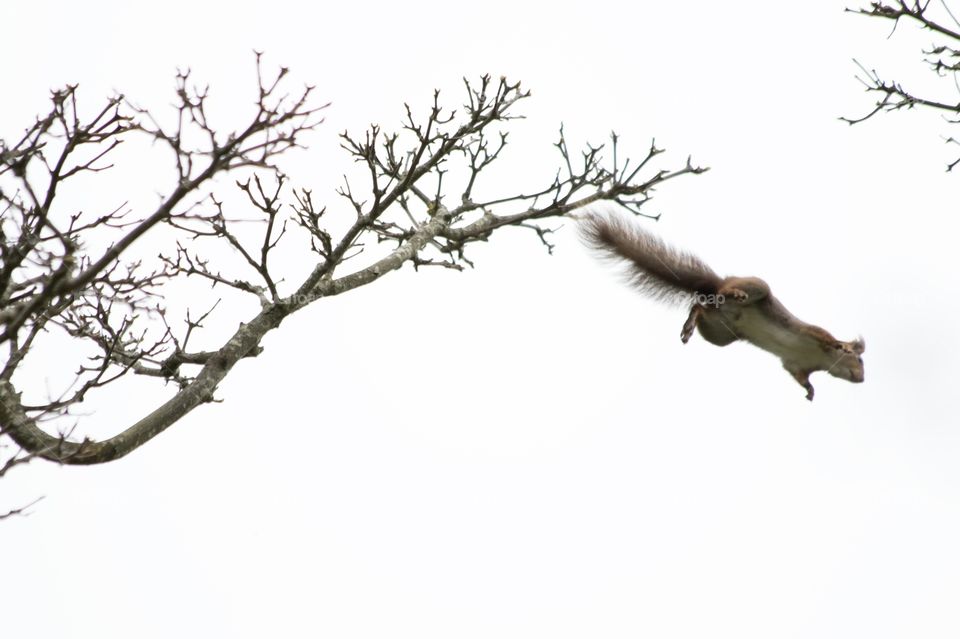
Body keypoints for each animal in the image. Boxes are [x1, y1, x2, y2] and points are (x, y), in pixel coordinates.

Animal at [579, 211, 864, 401]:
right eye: (860, 360)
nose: (862, 379)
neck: (819, 359)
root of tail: (717, 288)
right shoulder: (812, 334)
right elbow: (825, 337)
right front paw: (841, 345)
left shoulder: (795, 364)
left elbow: (797, 375)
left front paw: (809, 390)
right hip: (755, 289)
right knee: (716, 298)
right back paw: (729, 296)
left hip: (719, 333)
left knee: (700, 306)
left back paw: (691, 322)